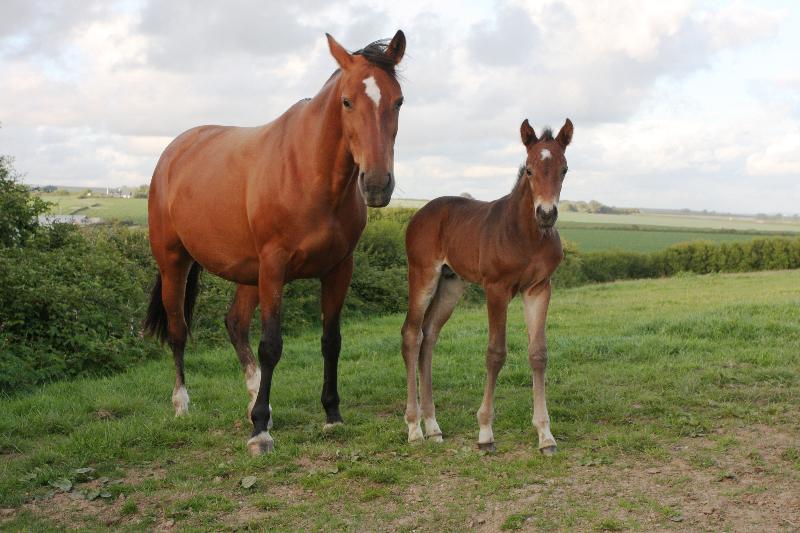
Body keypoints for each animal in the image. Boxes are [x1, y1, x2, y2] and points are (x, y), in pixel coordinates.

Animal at [144, 30, 406, 454]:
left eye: (398, 101)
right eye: (347, 101)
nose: (378, 184)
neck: (309, 173)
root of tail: (175, 151)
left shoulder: (339, 269)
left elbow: (331, 340)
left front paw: (331, 415)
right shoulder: (274, 266)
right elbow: (271, 345)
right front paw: (259, 432)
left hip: (247, 274)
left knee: (235, 324)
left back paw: (255, 400)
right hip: (175, 263)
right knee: (178, 328)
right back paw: (183, 403)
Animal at [404, 116, 572, 454]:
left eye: (564, 169)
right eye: (529, 169)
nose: (546, 214)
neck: (525, 234)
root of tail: (419, 214)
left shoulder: (539, 288)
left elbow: (538, 354)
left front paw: (545, 435)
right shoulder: (496, 289)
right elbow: (495, 353)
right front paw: (485, 432)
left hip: (450, 285)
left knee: (429, 337)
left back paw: (433, 426)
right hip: (423, 276)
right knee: (412, 335)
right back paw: (414, 427)